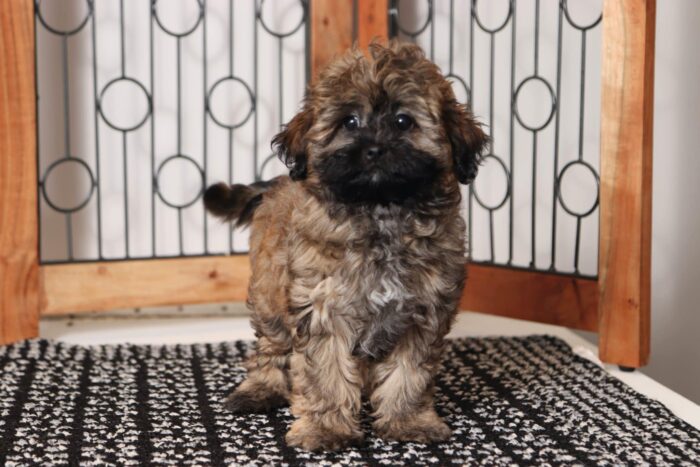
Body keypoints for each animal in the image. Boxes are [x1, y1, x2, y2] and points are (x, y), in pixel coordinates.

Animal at [204, 42, 486, 452]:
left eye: (403, 121)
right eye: (349, 122)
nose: (374, 150)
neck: (380, 211)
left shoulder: (423, 310)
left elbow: (410, 372)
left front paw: (408, 421)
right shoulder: (322, 307)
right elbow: (325, 372)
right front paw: (326, 428)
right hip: (269, 295)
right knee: (272, 348)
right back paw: (259, 390)